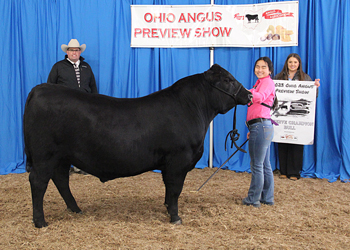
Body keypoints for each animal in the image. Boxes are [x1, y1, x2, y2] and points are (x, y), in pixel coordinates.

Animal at [23, 63, 252, 228]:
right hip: (45, 155)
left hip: (61, 157)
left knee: (61, 180)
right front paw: (175, 217)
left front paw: (167, 208)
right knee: (38, 182)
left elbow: (168, 189)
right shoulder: (178, 160)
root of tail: (40, 89)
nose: (249, 95)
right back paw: (40, 222)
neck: (193, 109)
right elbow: (175, 189)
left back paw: (76, 209)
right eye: (227, 79)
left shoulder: (169, 164)